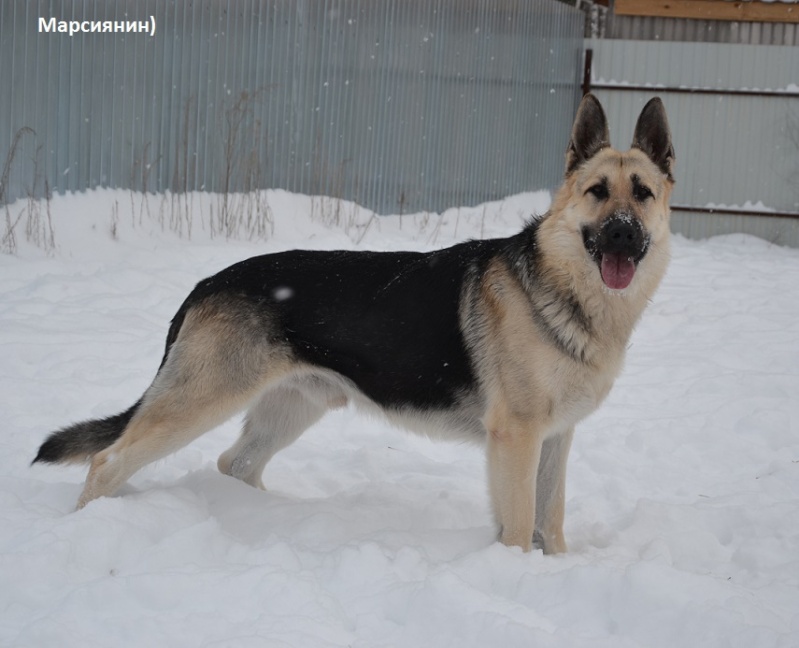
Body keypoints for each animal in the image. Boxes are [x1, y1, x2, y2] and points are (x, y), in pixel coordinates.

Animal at [36, 93, 676, 556]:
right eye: (597, 192)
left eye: (642, 194)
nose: (622, 233)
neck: (564, 289)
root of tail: (207, 283)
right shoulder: (516, 439)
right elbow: (521, 528)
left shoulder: (555, 439)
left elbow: (552, 521)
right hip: (202, 400)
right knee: (107, 461)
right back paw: (92, 529)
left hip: (292, 407)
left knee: (233, 463)